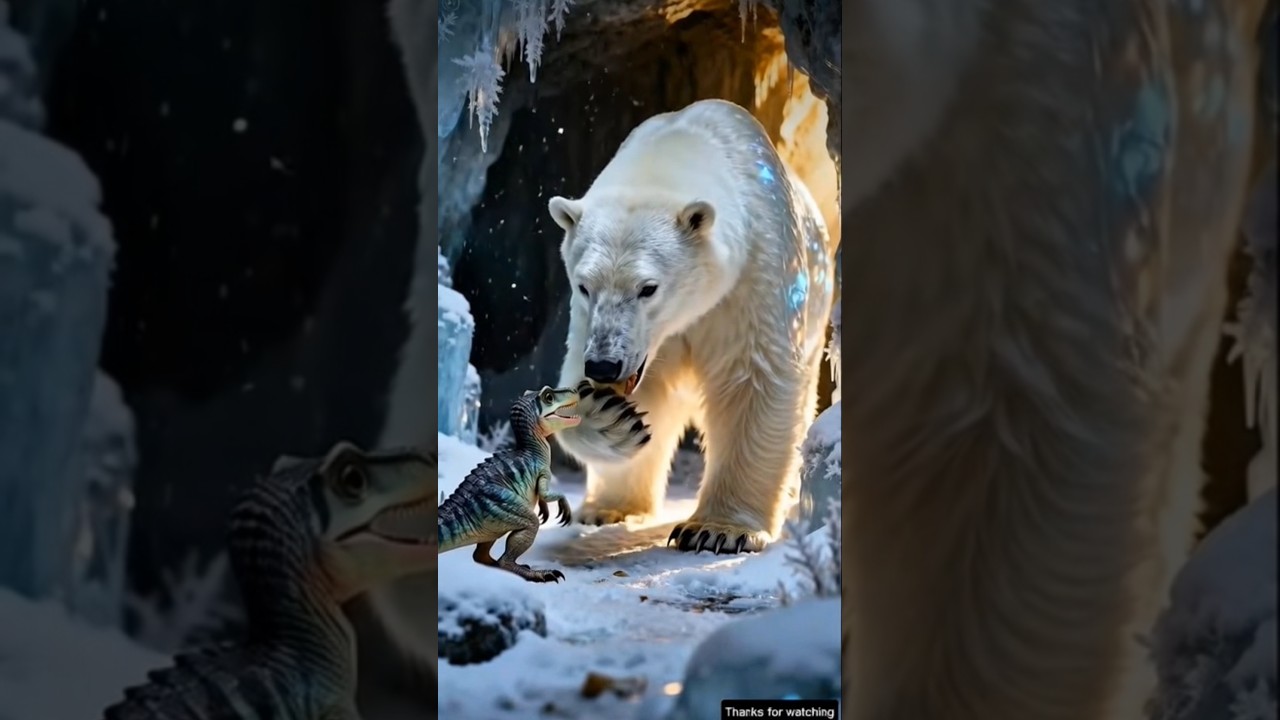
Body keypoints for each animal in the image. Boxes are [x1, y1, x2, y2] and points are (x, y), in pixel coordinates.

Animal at [546, 98, 837, 553]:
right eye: (584, 285)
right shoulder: (599, 325)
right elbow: (613, 387)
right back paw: (607, 508)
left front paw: (718, 530)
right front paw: (610, 418)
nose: (605, 366)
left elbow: (752, 383)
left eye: (648, 288)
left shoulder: (752, 277)